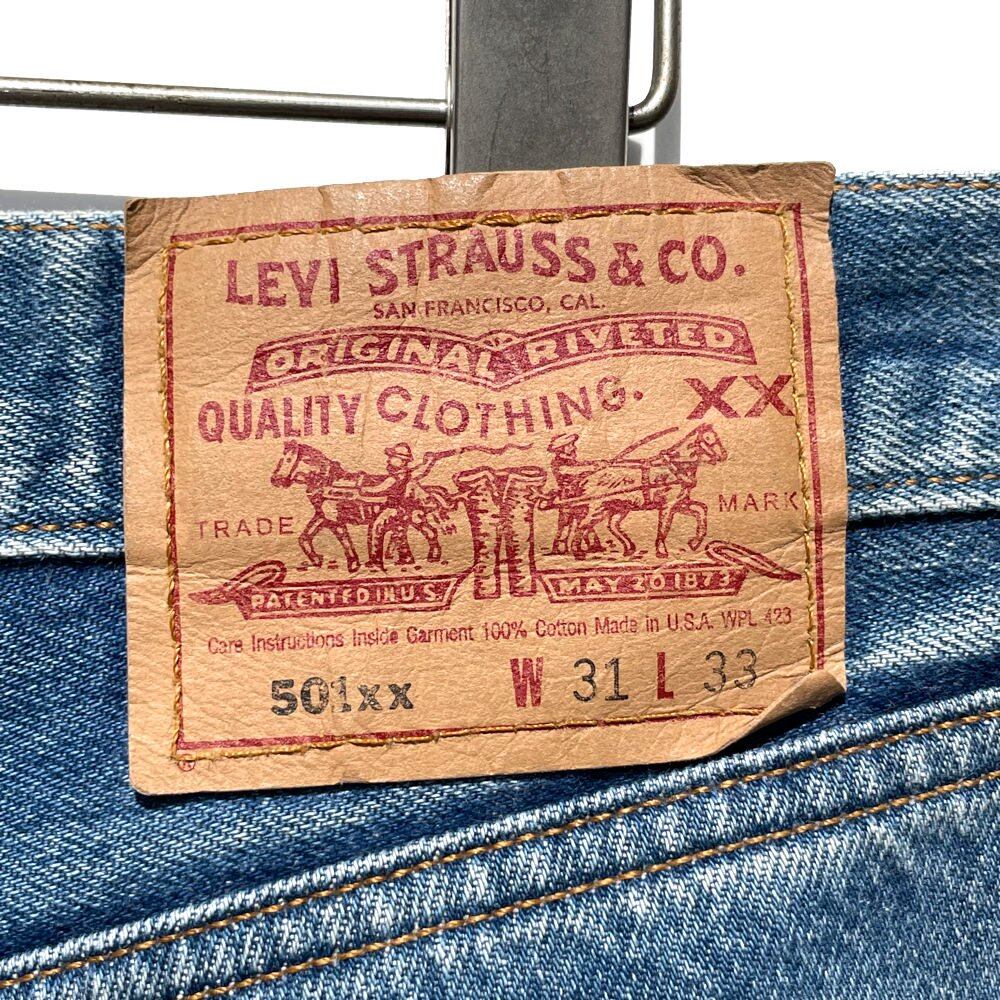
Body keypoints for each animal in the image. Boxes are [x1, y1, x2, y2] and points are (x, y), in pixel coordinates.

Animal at [270, 441, 453, 573]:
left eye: (287, 459)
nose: (275, 480)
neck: (327, 481)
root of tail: (420, 486)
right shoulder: (323, 516)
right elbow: (305, 537)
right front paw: (316, 560)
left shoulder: (335, 519)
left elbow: (344, 539)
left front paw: (353, 564)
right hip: (412, 518)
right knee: (425, 532)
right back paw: (415, 559)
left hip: (411, 517)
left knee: (424, 532)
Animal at [570, 423, 727, 560]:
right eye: (708, 438)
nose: (723, 455)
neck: (676, 467)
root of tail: (586, 478)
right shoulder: (667, 505)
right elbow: (663, 528)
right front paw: (662, 551)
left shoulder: (679, 503)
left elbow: (701, 509)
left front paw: (694, 542)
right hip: (598, 508)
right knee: (582, 525)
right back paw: (577, 552)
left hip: (617, 508)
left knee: (611, 525)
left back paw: (628, 548)